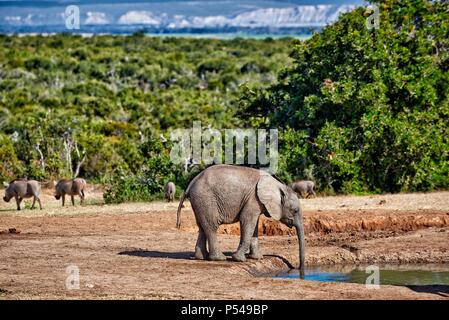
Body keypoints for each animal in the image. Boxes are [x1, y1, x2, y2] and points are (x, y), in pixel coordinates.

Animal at [177, 164, 306, 276]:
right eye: (295, 211)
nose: (298, 268)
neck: (278, 185)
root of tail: (190, 184)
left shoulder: (256, 201)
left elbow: (254, 225)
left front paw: (257, 258)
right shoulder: (254, 198)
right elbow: (247, 221)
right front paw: (239, 259)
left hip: (199, 201)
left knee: (202, 227)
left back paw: (201, 257)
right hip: (205, 199)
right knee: (212, 227)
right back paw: (219, 258)